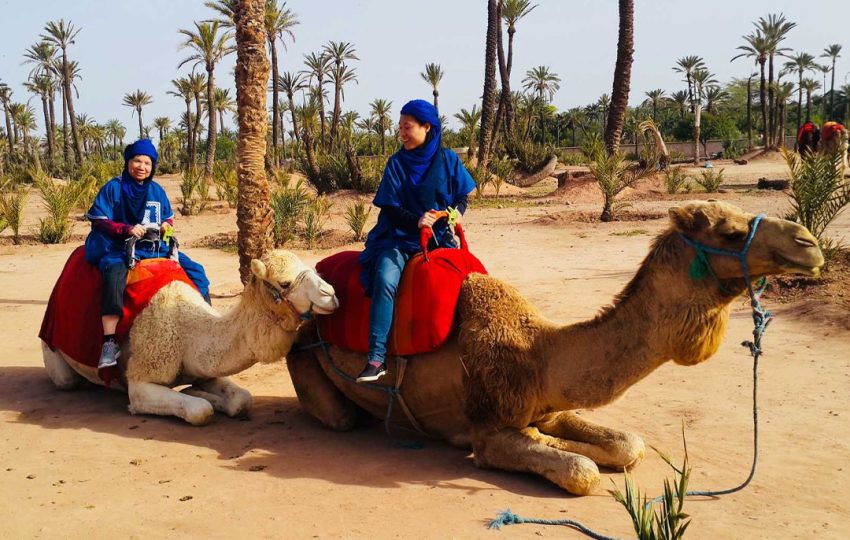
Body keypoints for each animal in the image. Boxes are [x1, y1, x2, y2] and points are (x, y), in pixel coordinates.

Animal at [42, 250, 338, 425]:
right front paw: (200, 398)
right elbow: (199, 411)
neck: (187, 334)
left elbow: (242, 401)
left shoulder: (203, 367)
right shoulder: (140, 380)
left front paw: (199, 392)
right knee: (67, 379)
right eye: (285, 283)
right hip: (53, 349)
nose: (331, 294)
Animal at [287, 201, 823, 495]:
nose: (809, 243)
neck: (538, 354)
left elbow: (628, 445)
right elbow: (581, 470)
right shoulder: (491, 428)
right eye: (730, 232)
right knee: (341, 416)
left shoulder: (551, 406)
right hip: (305, 360)